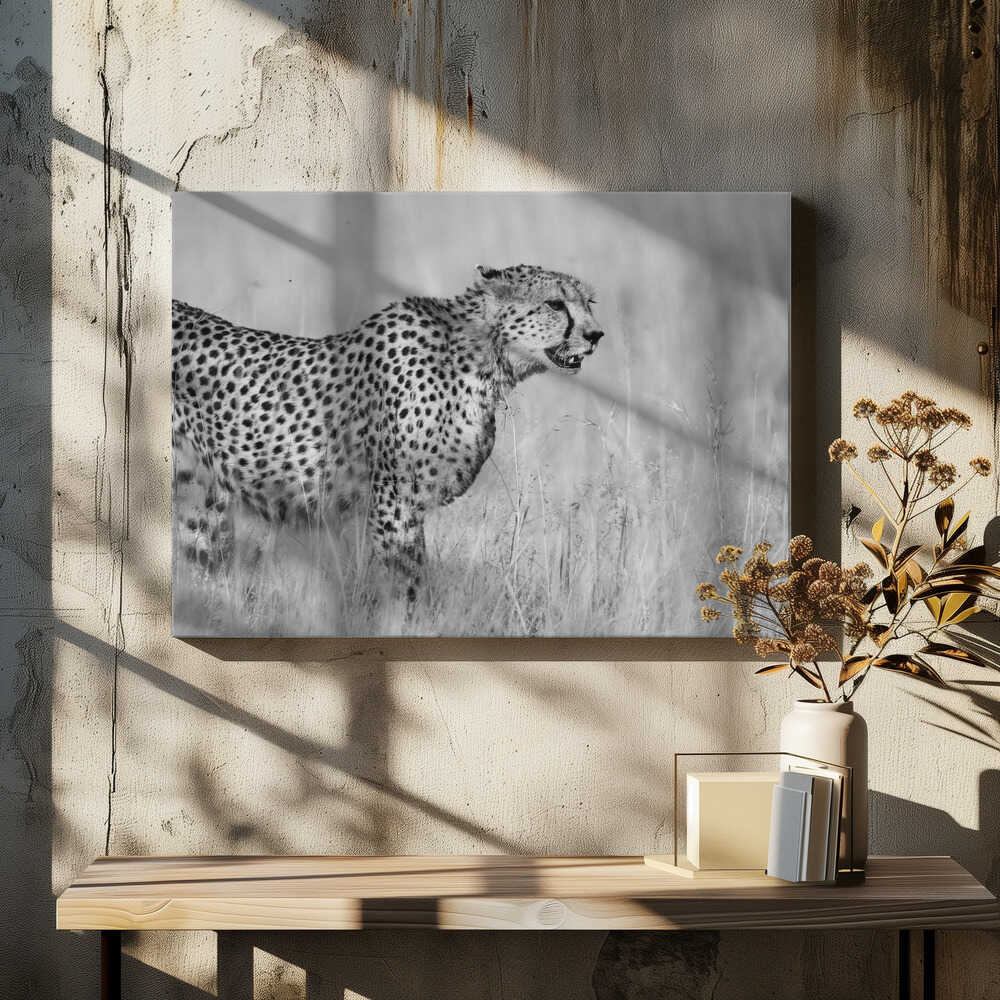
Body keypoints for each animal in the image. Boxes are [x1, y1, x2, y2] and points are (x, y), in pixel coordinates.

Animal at [171, 263, 605, 596]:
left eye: (588, 303)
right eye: (554, 303)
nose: (595, 335)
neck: (481, 358)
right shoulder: (394, 501)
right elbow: (407, 582)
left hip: (198, 498)